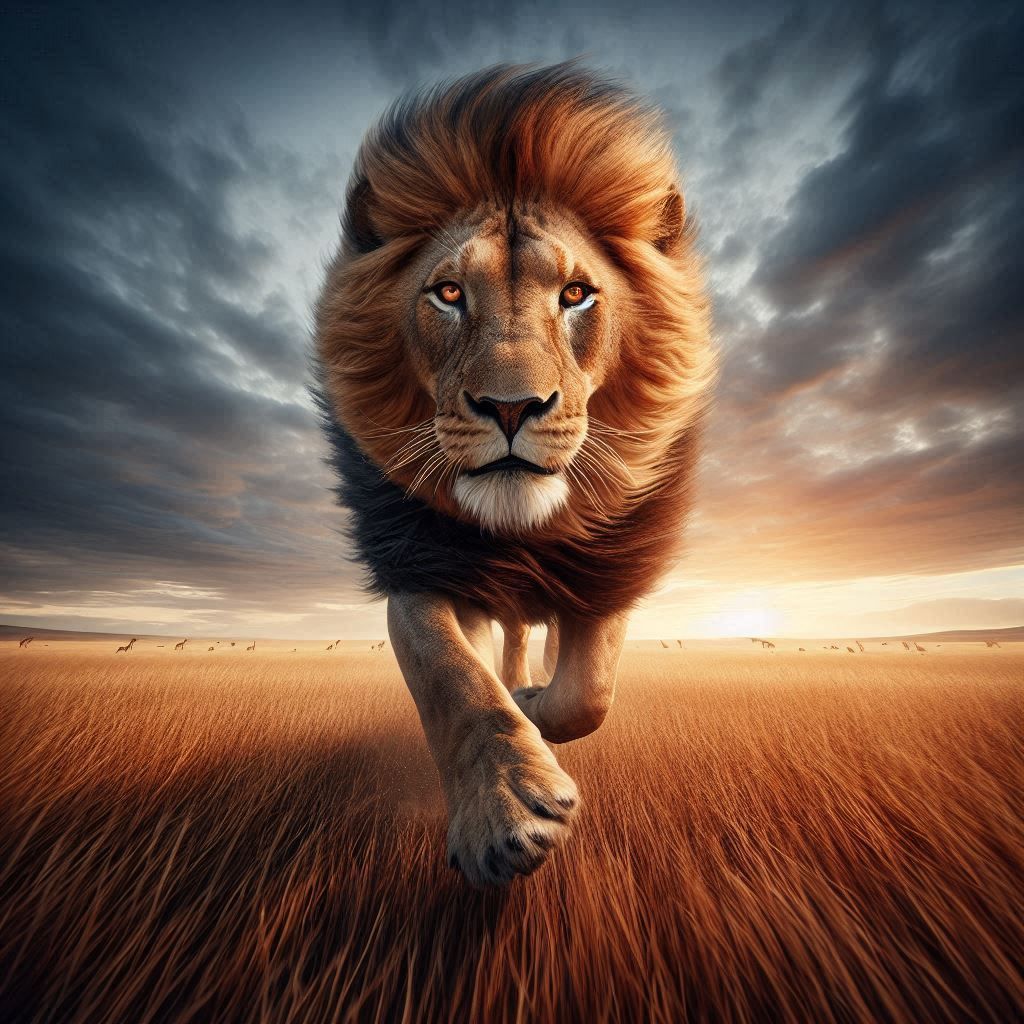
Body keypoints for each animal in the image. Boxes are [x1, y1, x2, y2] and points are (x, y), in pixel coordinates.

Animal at [314, 62, 715, 886]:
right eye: (448, 293)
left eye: (575, 295)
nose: (510, 406)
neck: (524, 532)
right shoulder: (422, 563)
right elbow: (455, 679)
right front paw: (504, 812)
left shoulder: (605, 568)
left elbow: (588, 692)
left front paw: (537, 704)